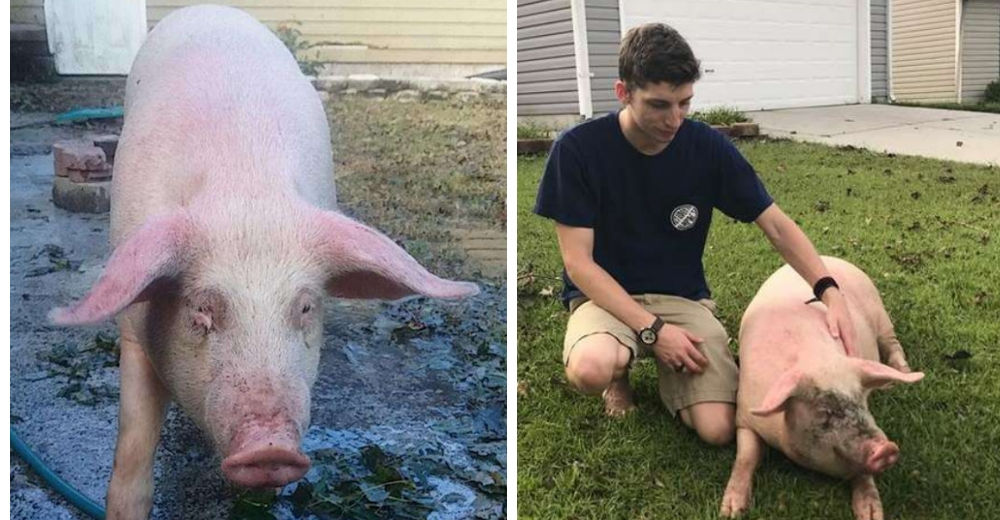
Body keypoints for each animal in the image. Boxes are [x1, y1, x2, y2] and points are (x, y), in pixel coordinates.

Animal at [48, 5, 478, 520]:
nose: (269, 447)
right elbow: (133, 443)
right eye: (202, 310)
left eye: (306, 307)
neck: (246, 194)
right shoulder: (133, 329)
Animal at [720, 256, 920, 520]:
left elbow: (861, 472)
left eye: (862, 403)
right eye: (824, 411)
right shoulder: (744, 416)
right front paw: (730, 511)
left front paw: (871, 514)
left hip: (880, 313)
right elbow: (746, 457)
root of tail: (831, 257)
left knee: (893, 343)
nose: (887, 449)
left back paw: (902, 374)